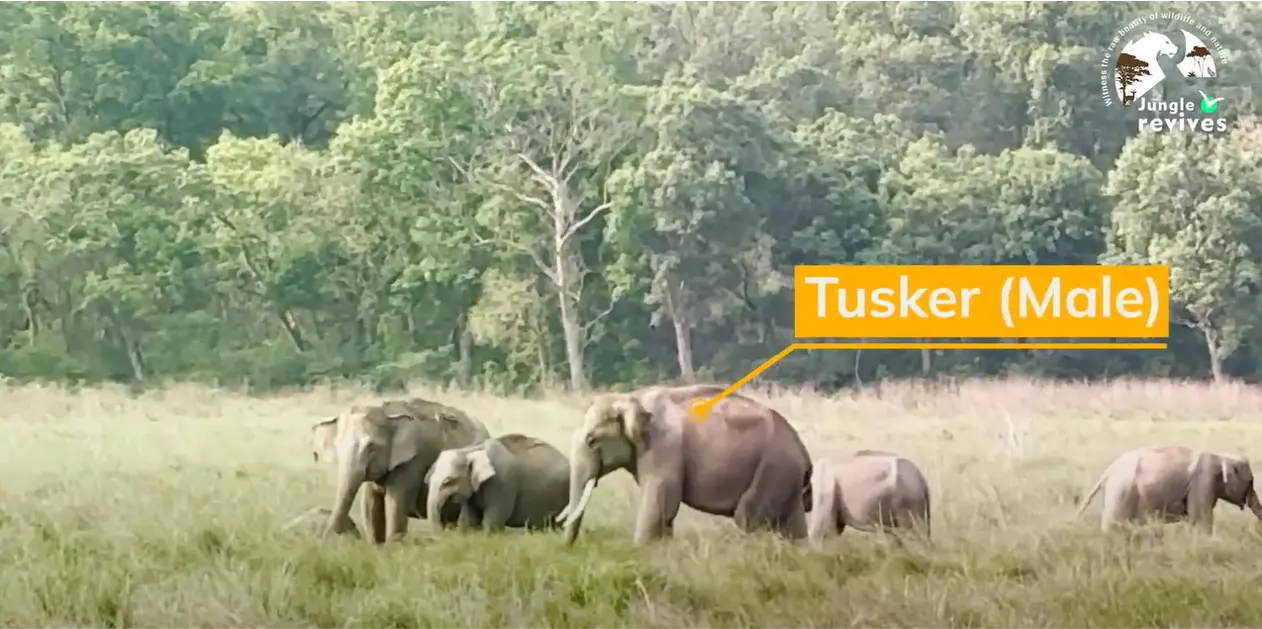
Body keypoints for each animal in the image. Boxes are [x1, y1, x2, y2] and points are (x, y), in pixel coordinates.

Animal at [310, 399, 492, 540]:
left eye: (371, 447)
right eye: (338, 446)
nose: (350, 531)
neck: (386, 411)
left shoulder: (412, 462)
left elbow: (394, 504)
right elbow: (370, 506)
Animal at [424, 431, 567, 530]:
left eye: (449, 481)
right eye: (429, 482)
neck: (472, 449)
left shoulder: (502, 481)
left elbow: (493, 521)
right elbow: (468, 521)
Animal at [557, 383, 812, 545]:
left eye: (592, 441)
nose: (568, 548)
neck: (632, 397)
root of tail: (802, 449)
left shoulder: (664, 447)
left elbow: (660, 502)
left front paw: (640, 549)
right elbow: (664, 511)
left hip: (774, 467)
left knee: (748, 517)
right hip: (786, 477)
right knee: (792, 525)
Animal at [1075, 442, 1262, 530]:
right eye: (1251, 482)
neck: (1220, 456)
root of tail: (1109, 470)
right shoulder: (1202, 482)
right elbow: (1200, 518)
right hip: (1121, 490)